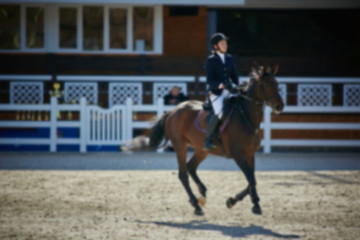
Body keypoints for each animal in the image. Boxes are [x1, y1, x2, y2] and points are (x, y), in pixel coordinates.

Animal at [128, 65, 282, 216]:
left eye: (277, 84)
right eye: (267, 84)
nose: (279, 106)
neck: (245, 118)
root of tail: (173, 110)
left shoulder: (250, 154)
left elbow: (252, 179)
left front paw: (244, 202)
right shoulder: (238, 155)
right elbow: (251, 179)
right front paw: (244, 203)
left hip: (201, 150)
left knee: (191, 167)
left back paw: (202, 192)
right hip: (180, 145)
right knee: (183, 174)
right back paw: (196, 205)